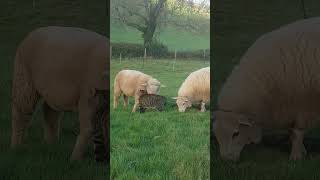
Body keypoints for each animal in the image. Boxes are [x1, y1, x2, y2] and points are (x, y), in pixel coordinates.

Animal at [11, 25, 109, 162]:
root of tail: (31, 33)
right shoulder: (87, 96)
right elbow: (88, 128)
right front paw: (74, 160)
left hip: (53, 91)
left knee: (49, 112)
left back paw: (50, 144)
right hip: (24, 79)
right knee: (20, 112)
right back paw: (16, 146)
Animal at [212, 16, 320, 162]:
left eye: (236, 133)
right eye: (216, 134)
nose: (226, 159)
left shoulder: (305, 105)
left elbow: (298, 132)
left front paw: (296, 156)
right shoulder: (288, 107)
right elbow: (292, 133)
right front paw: (302, 152)